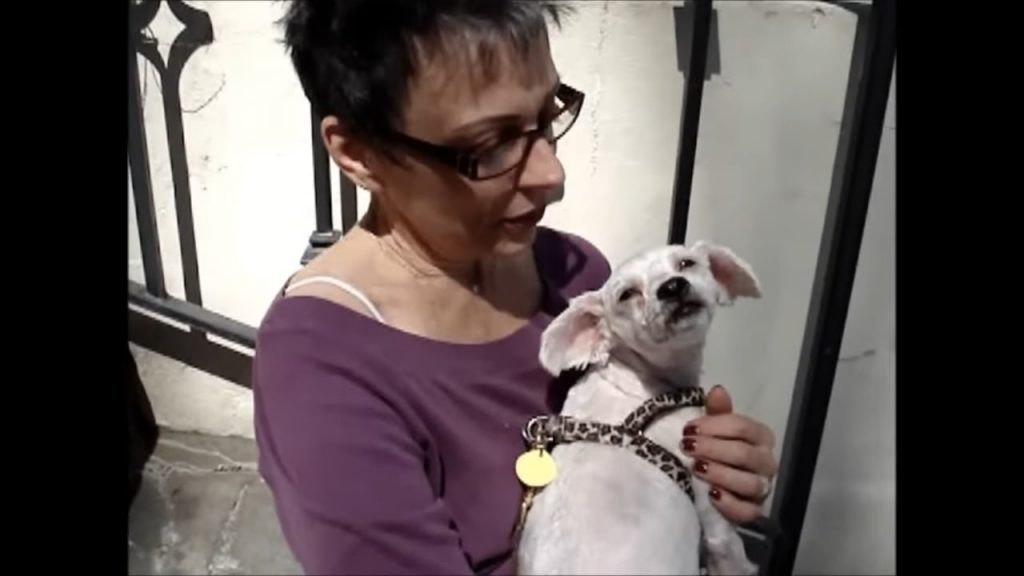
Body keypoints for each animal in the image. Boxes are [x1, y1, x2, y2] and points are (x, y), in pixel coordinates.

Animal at [520, 239, 761, 573]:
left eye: (686, 263)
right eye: (627, 294)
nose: (673, 286)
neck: (638, 385)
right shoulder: (711, 504)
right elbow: (731, 553)